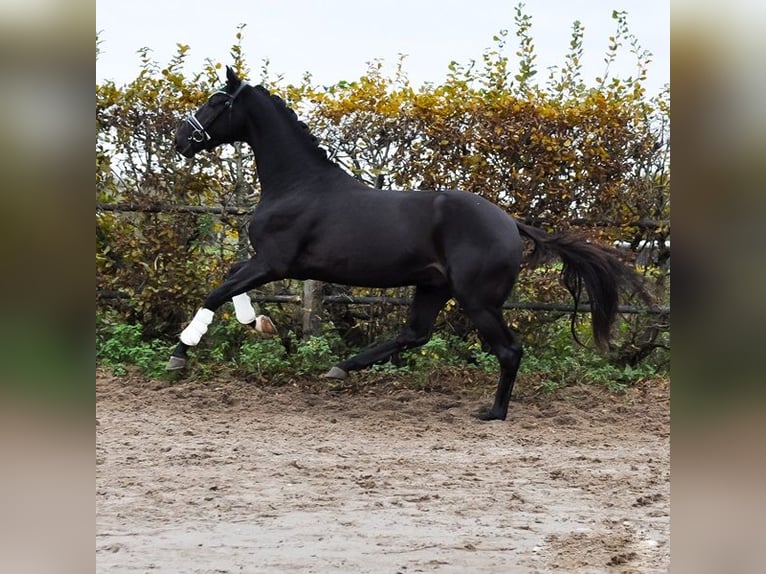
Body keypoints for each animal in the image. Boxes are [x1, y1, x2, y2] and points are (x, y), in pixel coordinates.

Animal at [165, 67, 652, 420]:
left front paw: (179, 354)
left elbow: (216, 291)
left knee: (507, 350)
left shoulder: (275, 262)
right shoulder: (269, 263)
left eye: (215, 102)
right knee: (414, 334)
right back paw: (341, 367)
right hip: (433, 287)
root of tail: (510, 222)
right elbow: (230, 281)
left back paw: (493, 412)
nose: (179, 139)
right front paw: (259, 323)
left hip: (476, 300)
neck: (298, 185)